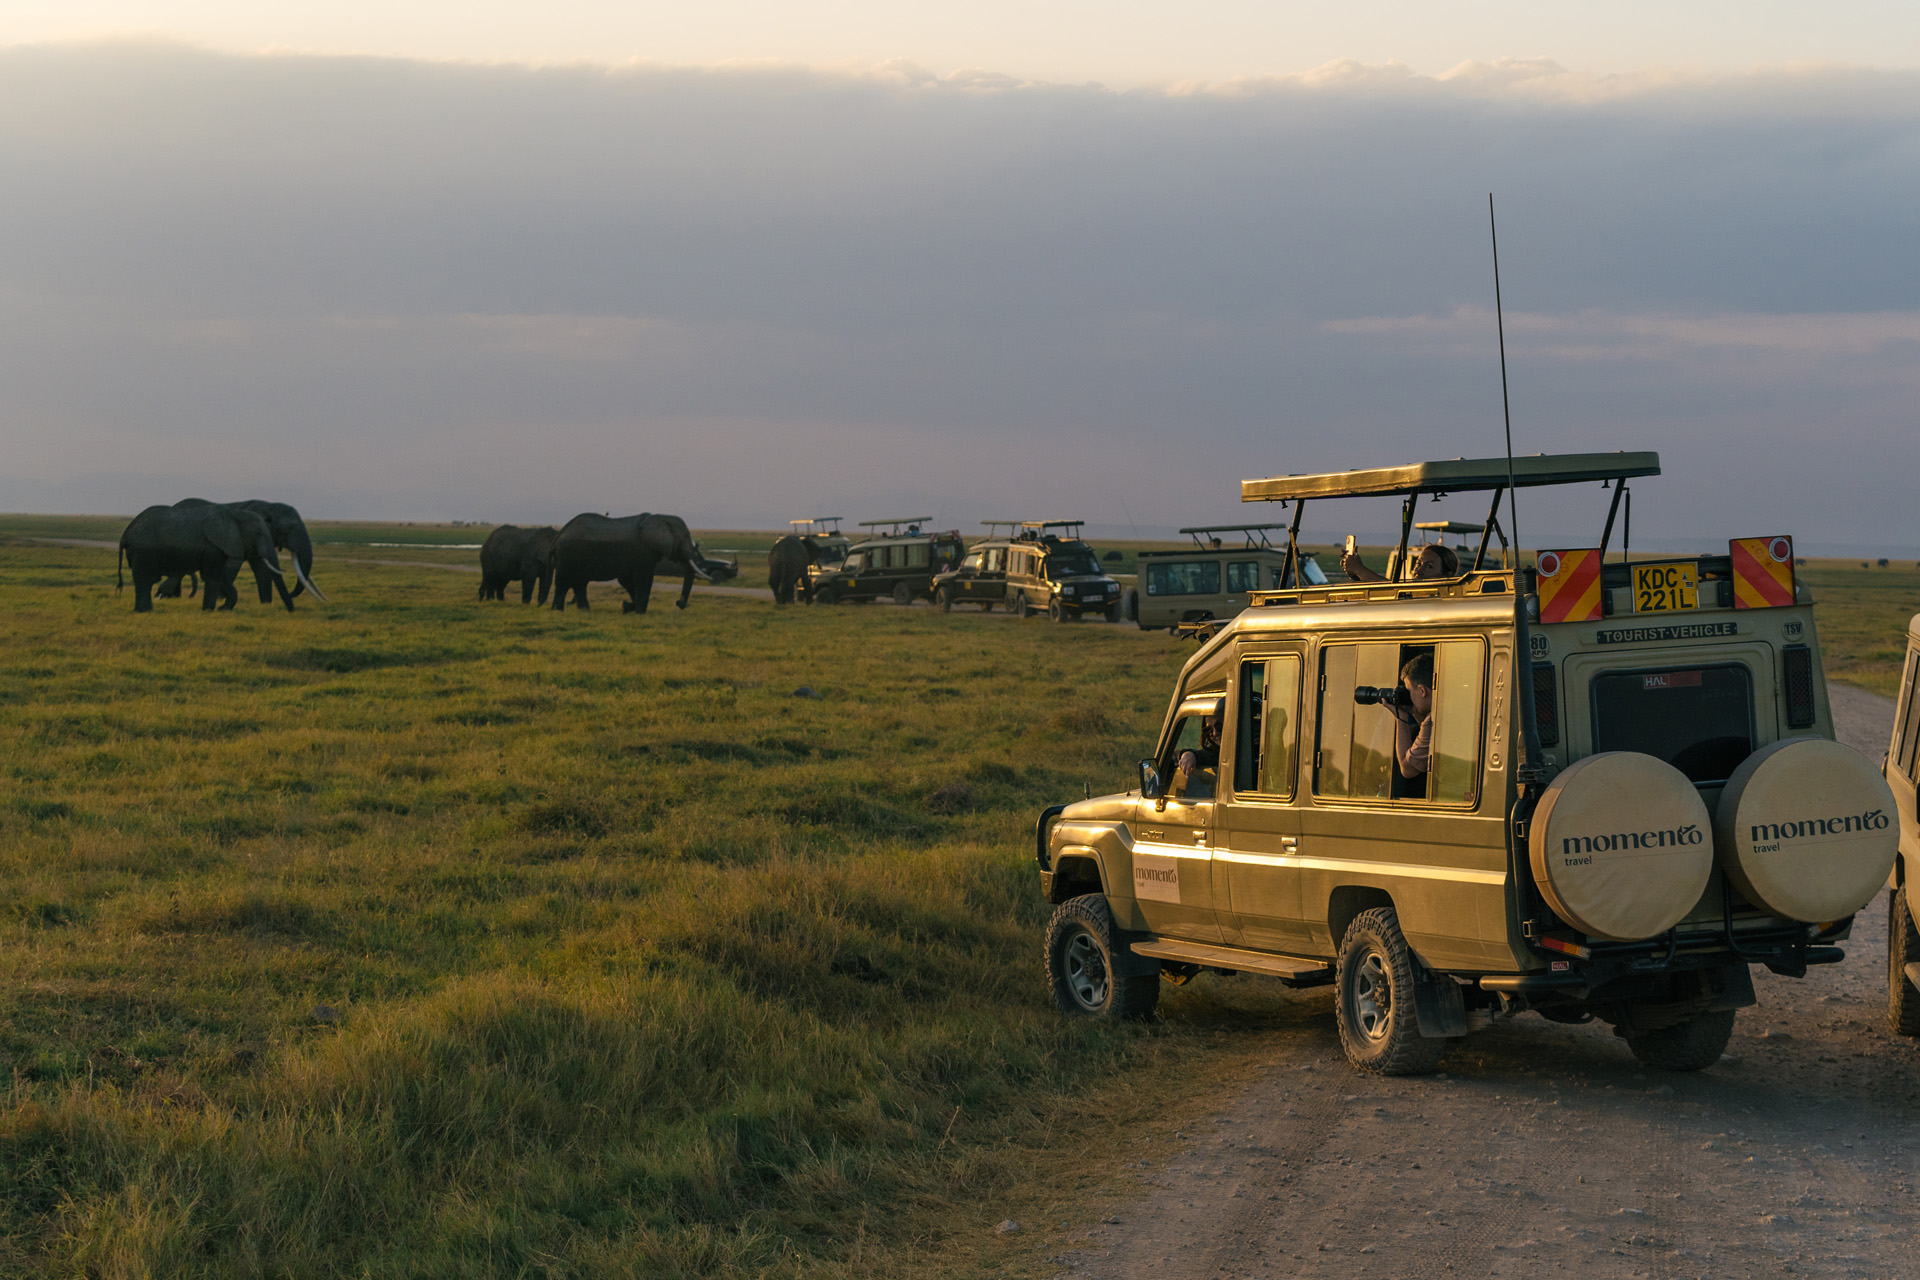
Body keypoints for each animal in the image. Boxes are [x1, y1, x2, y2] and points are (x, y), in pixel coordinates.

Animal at [119, 506, 301, 614]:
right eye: (258, 533)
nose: (291, 611)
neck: (233, 514)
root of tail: (126, 532)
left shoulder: (220, 547)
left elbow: (220, 577)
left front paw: (222, 609)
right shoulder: (213, 546)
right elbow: (213, 576)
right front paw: (209, 610)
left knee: (145, 581)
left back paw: (145, 610)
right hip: (144, 551)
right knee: (145, 580)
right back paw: (144, 611)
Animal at [556, 506, 721, 614]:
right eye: (685, 536)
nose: (679, 603)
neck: (658, 517)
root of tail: (561, 532)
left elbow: (627, 580)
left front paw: (626, 606)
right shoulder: (642, 550)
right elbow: (643, 579)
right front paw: (637, 611)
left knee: (579, 583)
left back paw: (582, 609)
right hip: (568, 554)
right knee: (569, 581)